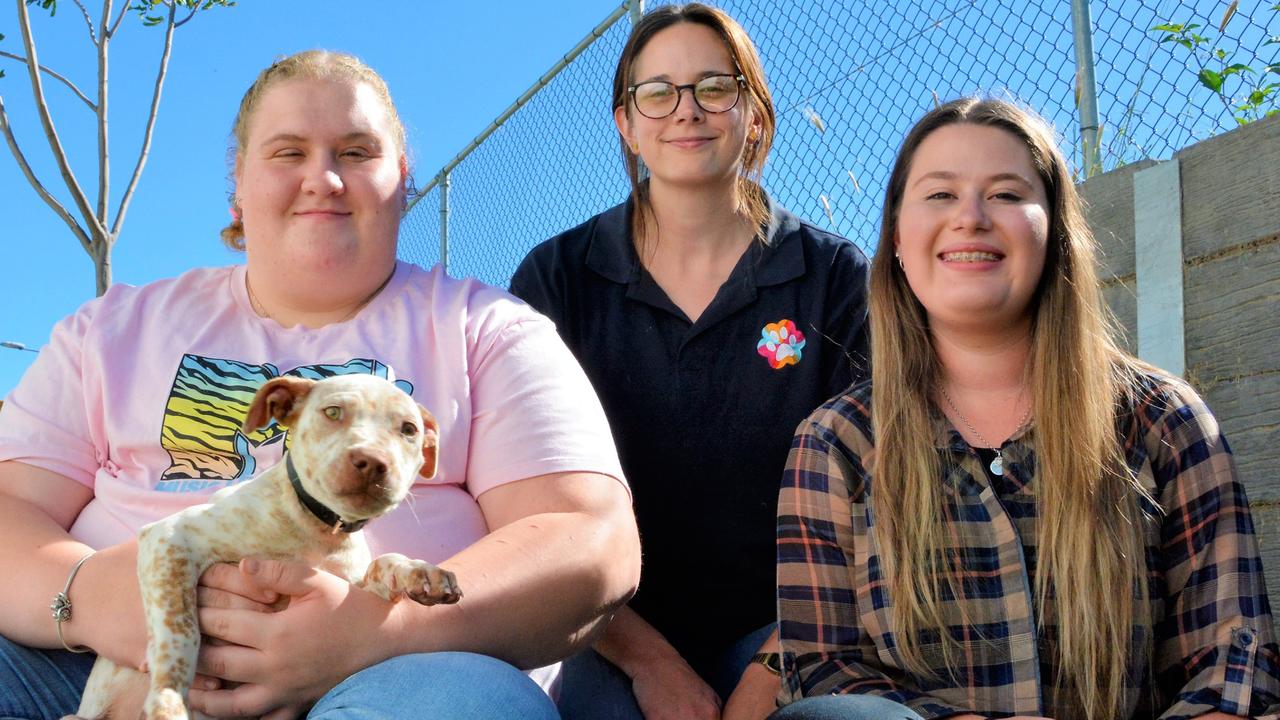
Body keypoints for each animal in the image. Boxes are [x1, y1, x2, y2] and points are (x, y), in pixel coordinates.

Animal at [68, 371, 460, 717]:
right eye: (333, 412)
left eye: (408, 430)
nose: (374, 462)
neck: (317, 529)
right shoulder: (169, 538)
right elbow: (182, 632)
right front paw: (169, 701)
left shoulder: (351, 585)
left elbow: (383, 563)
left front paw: (420, 572)